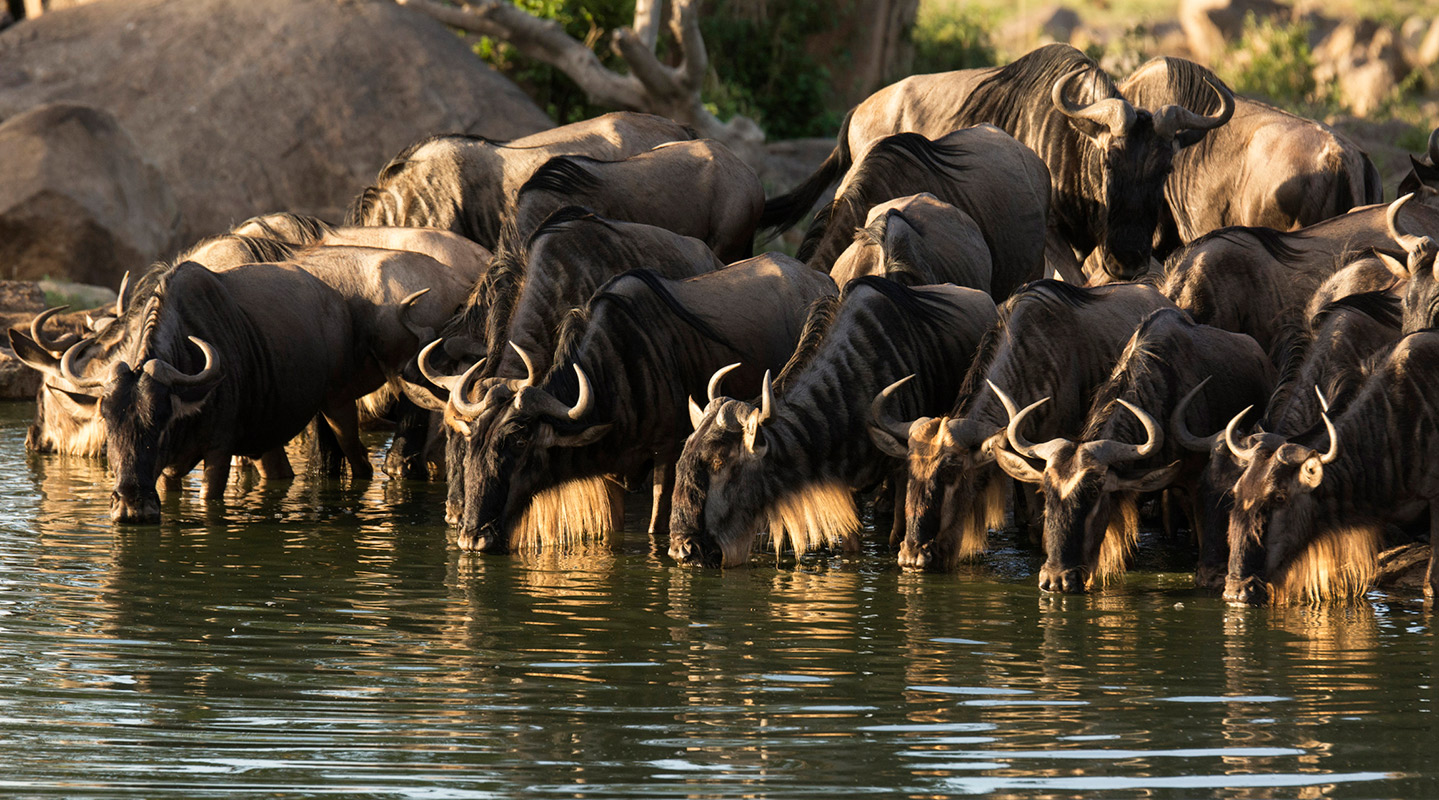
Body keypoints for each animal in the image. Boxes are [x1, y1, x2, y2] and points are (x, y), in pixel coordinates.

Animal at [49, 260, 379, 523]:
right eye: (107, 422)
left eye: (161, 420)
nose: (132, 507)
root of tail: (335, 300)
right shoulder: (168, 472)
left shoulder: (219, 453)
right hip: (267, 437)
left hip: (339, 404)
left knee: (361, 460)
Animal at [449, 256, 836, 552]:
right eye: (472, 442)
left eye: (517, 440)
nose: (472, 538)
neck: (617, 369)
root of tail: (822, 280)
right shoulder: (612, 471)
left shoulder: (667, 455)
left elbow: (655, 528)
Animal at [668, 277, 997, 567]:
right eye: (682, 459)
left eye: (719, 462)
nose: (683, 549)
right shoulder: (847, 488)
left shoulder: (904, 471)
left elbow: (897, 535)